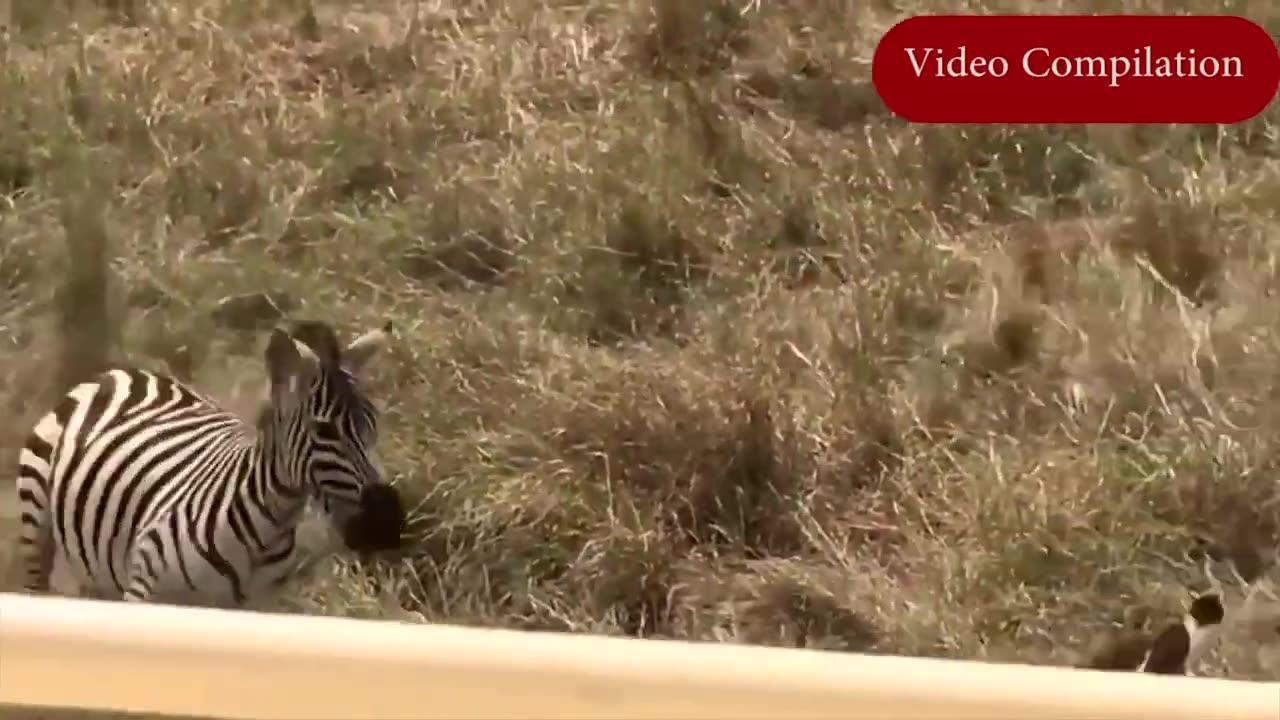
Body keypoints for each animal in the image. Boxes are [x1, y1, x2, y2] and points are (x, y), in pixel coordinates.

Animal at [14, 319, 405, 608]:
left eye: (373, 424)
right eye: (324, 430)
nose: (387, 522)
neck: (264, 532)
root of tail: (118, 374)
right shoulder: (144, 590)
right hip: (36, 520)